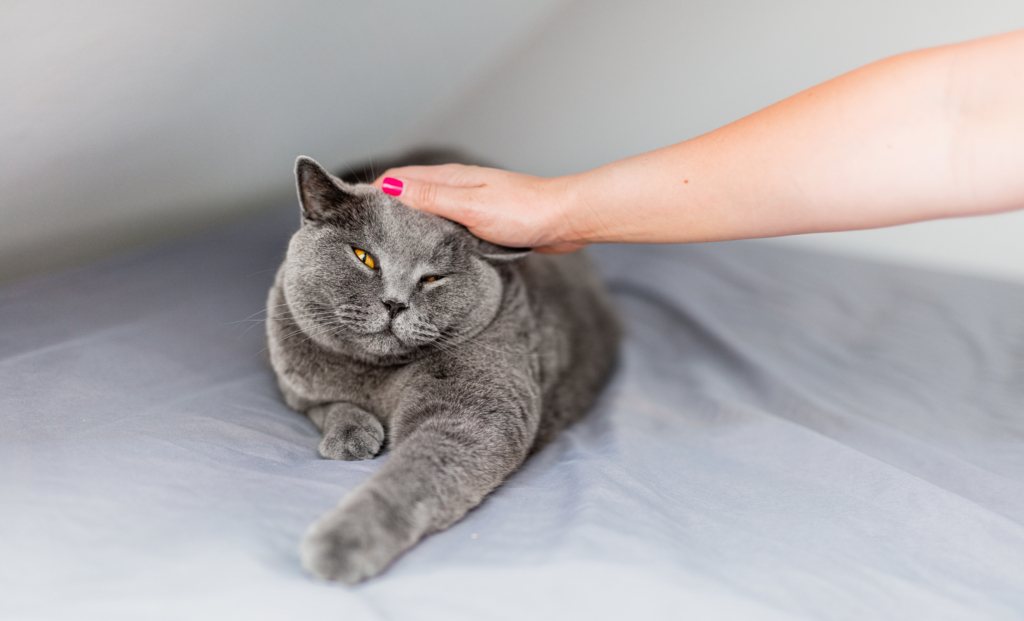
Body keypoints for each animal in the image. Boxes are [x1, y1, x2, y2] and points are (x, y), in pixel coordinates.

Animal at [266, 150, 614, 582]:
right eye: (365, 258)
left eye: (433, 278)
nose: (395, 303)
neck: (376, 376)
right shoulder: (295, 386)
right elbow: (326, 406)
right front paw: (350, 435)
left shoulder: (476, 412)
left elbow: (417, 472)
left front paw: (344, 540)